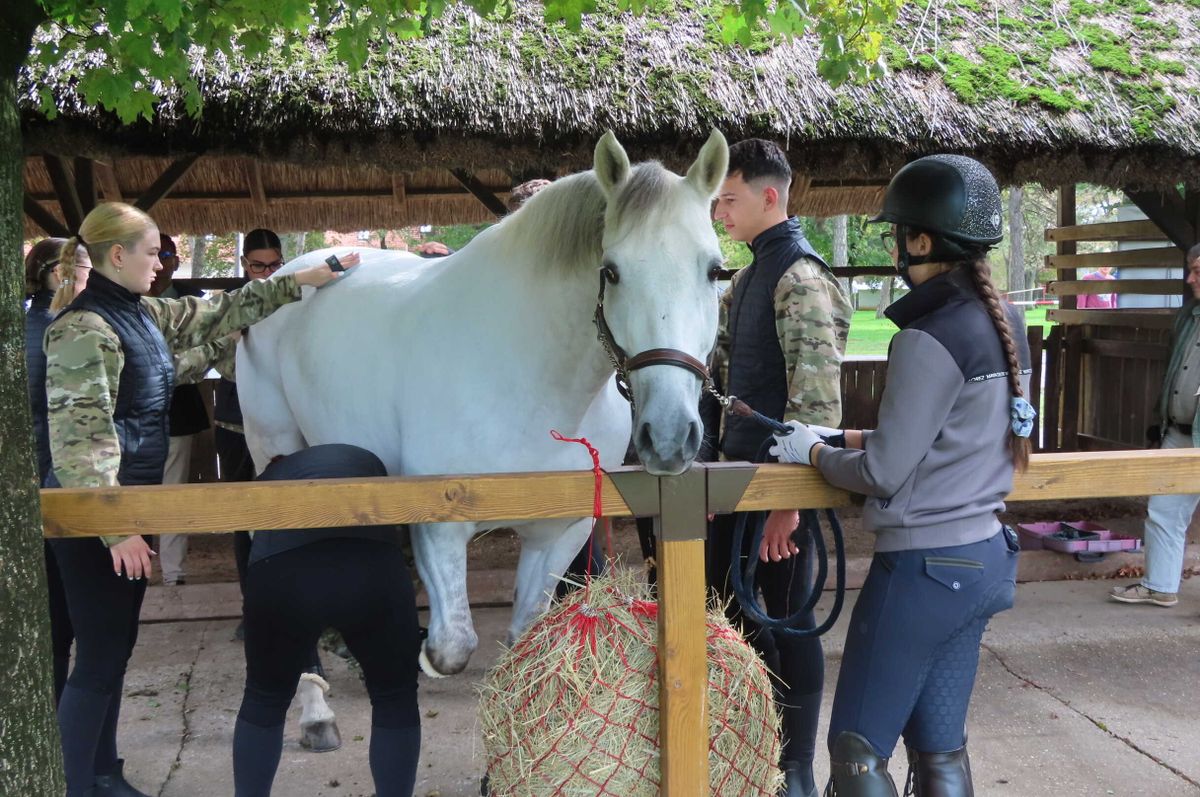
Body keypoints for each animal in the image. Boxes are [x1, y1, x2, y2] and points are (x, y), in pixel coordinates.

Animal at [230, 126, 724, 739]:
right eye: (611, 271)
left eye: (714, 270)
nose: (670, 434)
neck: (529, 376)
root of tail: (283, 276)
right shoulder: (440, 527)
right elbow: (452, 647)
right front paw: (417, 655)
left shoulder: (559, 531)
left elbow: (522, 637)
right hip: (278, 459)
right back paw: (315, 706)